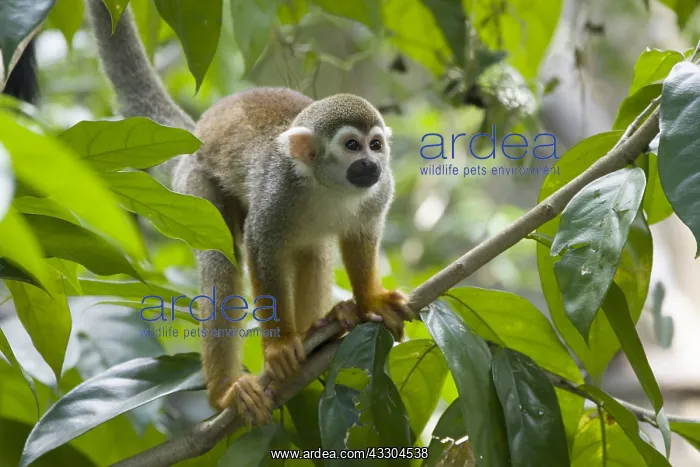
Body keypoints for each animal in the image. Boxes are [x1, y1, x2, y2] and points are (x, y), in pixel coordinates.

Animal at [84, 0, 415, 426]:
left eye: (375, 145)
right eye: (352, 146)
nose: (371, 165)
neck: (327, 185)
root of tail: (194, 132)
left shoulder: (380, 191)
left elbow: (360, 236)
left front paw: (370, 301)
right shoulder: (277, 190)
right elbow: (262, 249)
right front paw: (279, 346)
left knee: (312, 249)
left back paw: (321, 326)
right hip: (196, 184)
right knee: (221, 262)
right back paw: (226, 391)